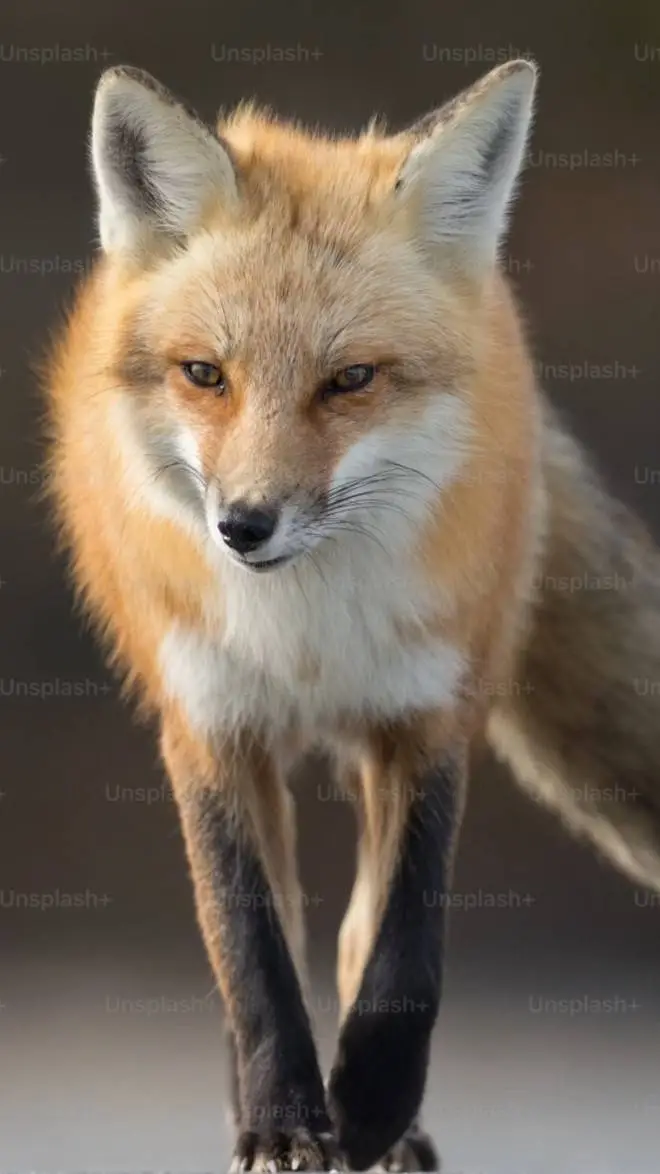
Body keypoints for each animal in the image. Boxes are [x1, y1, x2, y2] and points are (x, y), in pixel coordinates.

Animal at [43, 58, 660, 1172]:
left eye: (351, 380)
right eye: (206, 374)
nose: (242, 526)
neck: (305, 633)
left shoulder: (428, 716)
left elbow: (403, 945)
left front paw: (369, 1103)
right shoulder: (208, 725)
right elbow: (250, 953)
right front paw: (284, 1122)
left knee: (350, 933)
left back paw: (392, 1126)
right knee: (281, 938)